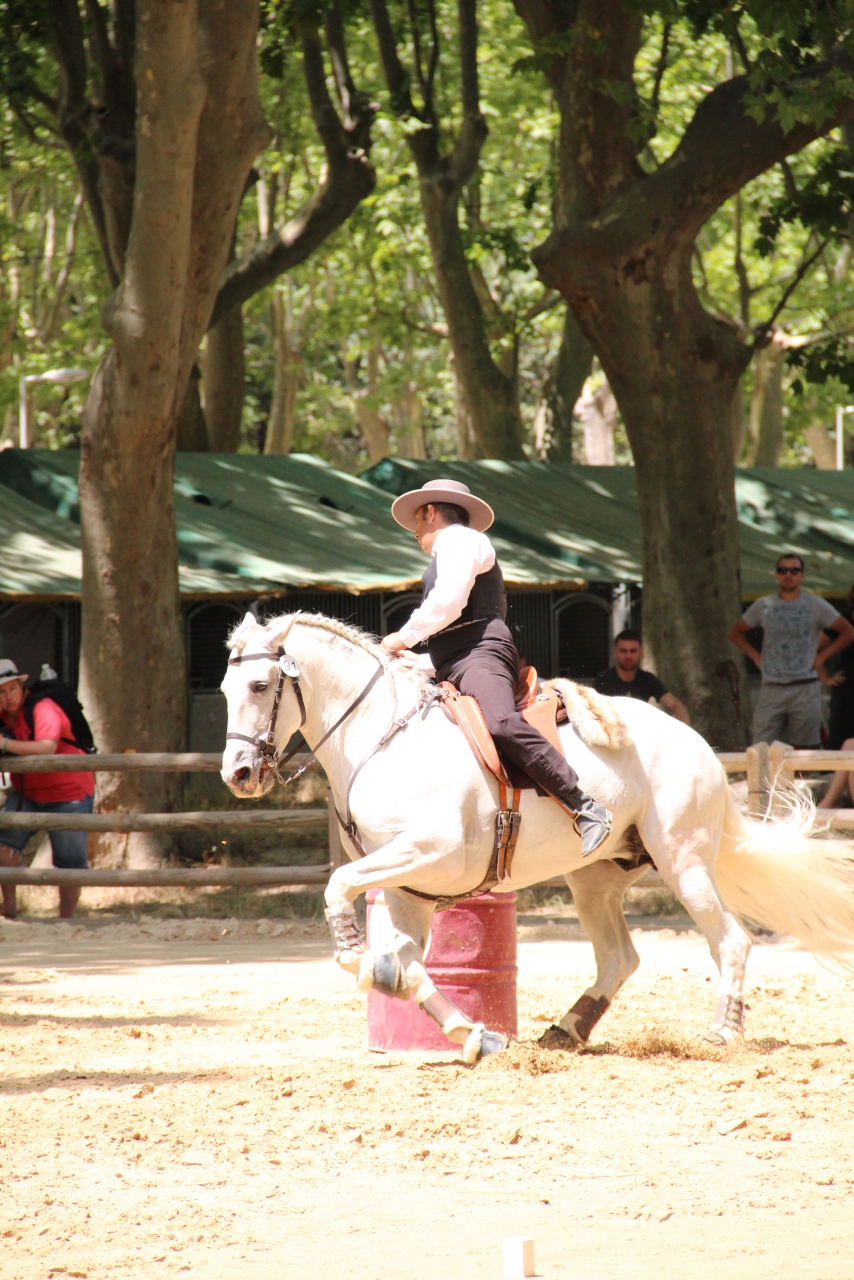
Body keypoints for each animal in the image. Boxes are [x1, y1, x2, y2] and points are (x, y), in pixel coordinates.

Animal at [220, 610, 854, 1064]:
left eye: (260, 684)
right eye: (226, 688)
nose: (239, 775)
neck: (383, 737)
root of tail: (697, 744)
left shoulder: (430, 852)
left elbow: (340, 889)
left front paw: (357, 956)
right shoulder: (406, 887)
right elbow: (410, 965)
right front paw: (472, 1035)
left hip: (685, 864)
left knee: (730, 940)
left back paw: (722, 1031)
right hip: (594, 880)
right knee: (619, 956)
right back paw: (568, 1029)